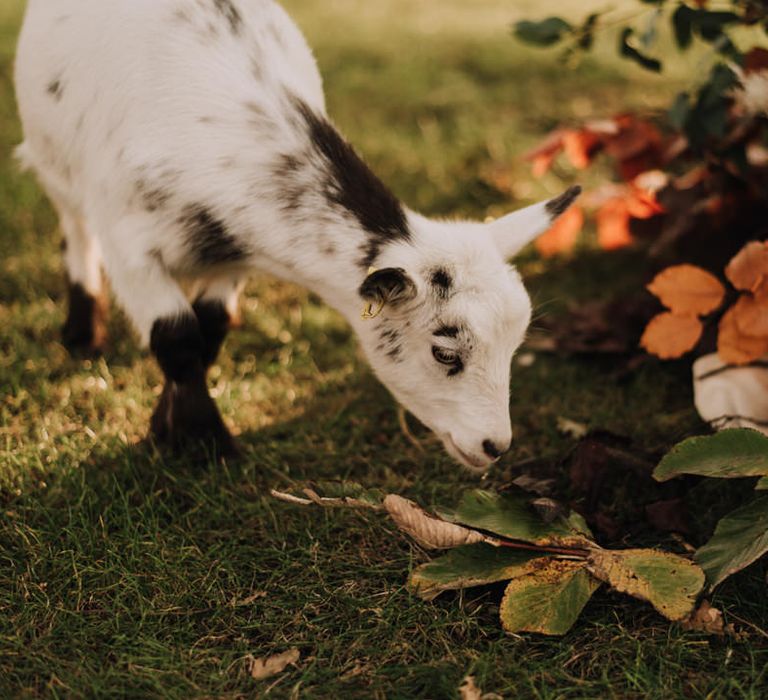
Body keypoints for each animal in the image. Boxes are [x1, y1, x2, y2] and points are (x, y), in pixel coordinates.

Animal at [15, 0, 580, 474]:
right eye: (445, 354)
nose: (495, 446)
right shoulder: (131, 248)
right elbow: (177, 336)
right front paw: (203, 445)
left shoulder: (238, 253)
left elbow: (211, 328)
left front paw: (166, 427)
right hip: (53, 157)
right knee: (74, 225)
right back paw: (82, 331)